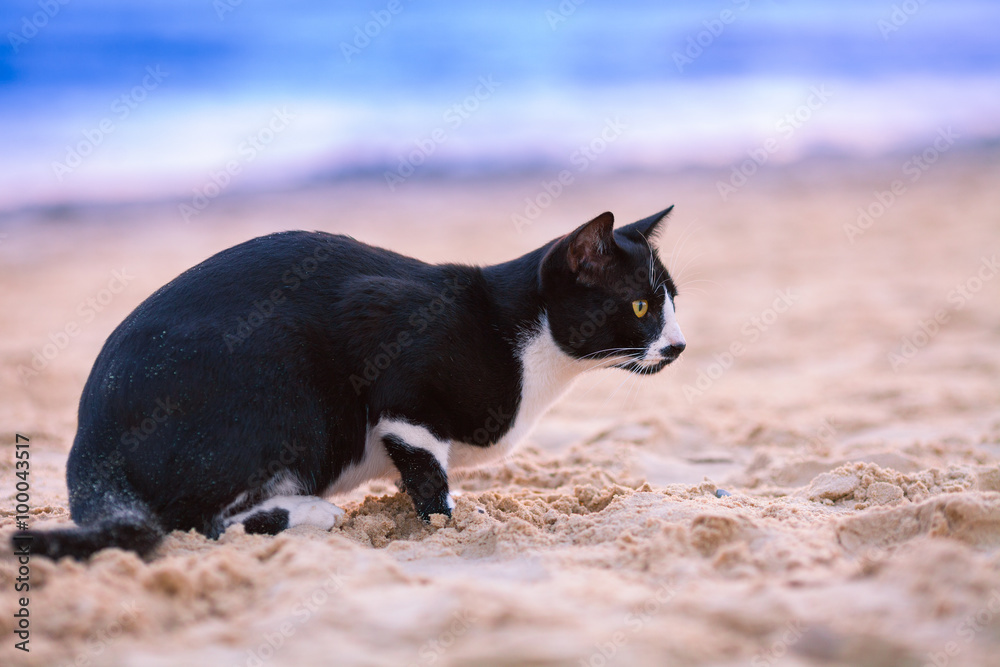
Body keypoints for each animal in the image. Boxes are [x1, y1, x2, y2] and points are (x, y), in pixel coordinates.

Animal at [13, 207, 688, 560]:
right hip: (288, 389)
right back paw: (314, 512)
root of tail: (88, 439)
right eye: (638, 306)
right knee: (206, 522)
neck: (520, 339)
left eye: (673, 300)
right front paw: (446, 523)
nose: (679, 345)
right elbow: (427, 472)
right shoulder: (392, 351)